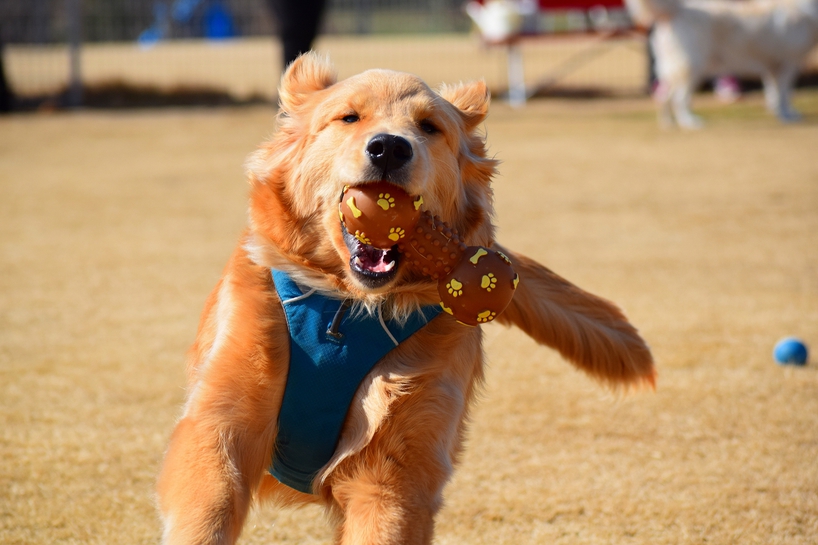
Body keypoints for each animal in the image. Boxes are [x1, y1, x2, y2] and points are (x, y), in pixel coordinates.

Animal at [156, 52, 656, 544]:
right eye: (349, 117)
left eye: (429, 127)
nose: (390, 147)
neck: (344, 311)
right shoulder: (219, 431)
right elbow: (206, 514)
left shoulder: (396, 470)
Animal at [624, 0, 816, 127]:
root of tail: (679, 9)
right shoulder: (786, 64)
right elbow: (783, 95)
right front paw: (787, 116)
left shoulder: (771, 67)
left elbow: (774, 94)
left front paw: (779, 112)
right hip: (693, 67)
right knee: (679, 99)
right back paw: (689, 122)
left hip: (675, 69)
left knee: (663, 97)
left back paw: (668, 124)